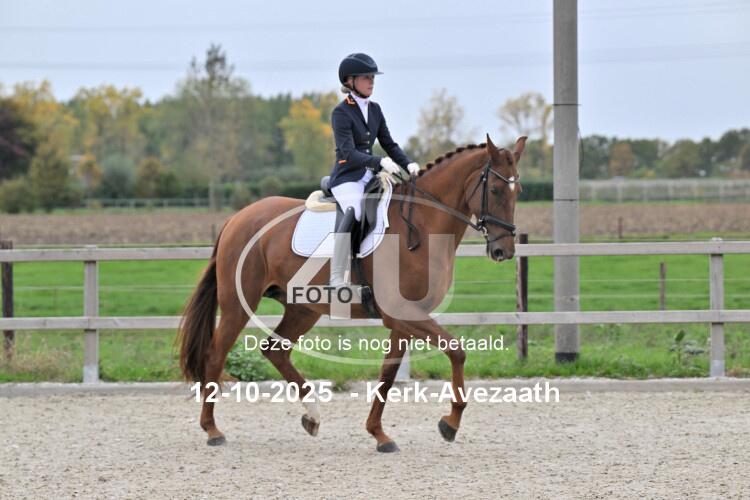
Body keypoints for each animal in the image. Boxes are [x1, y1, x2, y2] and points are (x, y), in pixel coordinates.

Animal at [177, 134, 526, 452]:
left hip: (302, 308)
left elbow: (388, 374)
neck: (423, 227)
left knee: (275, 350)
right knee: (216, 355)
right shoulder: (403, 314)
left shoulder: (404, 320)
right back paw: (212, 430)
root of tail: (238, 217)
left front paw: (380, 434)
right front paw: (450, 422)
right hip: (239, 304)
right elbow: (456, 350)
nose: (504, 251)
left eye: (518, 191)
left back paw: (312, 417)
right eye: (495, 190)